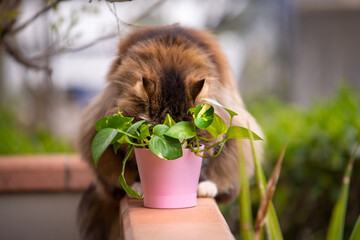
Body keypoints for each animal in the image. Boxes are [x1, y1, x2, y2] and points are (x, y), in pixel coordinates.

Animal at [76, 24, 262, 240]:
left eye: (191, 141)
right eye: (154, 137)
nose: (174, 156)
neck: (170, 63)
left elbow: (205, 164)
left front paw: (202, 186)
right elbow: (132, 164)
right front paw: (139, 185)